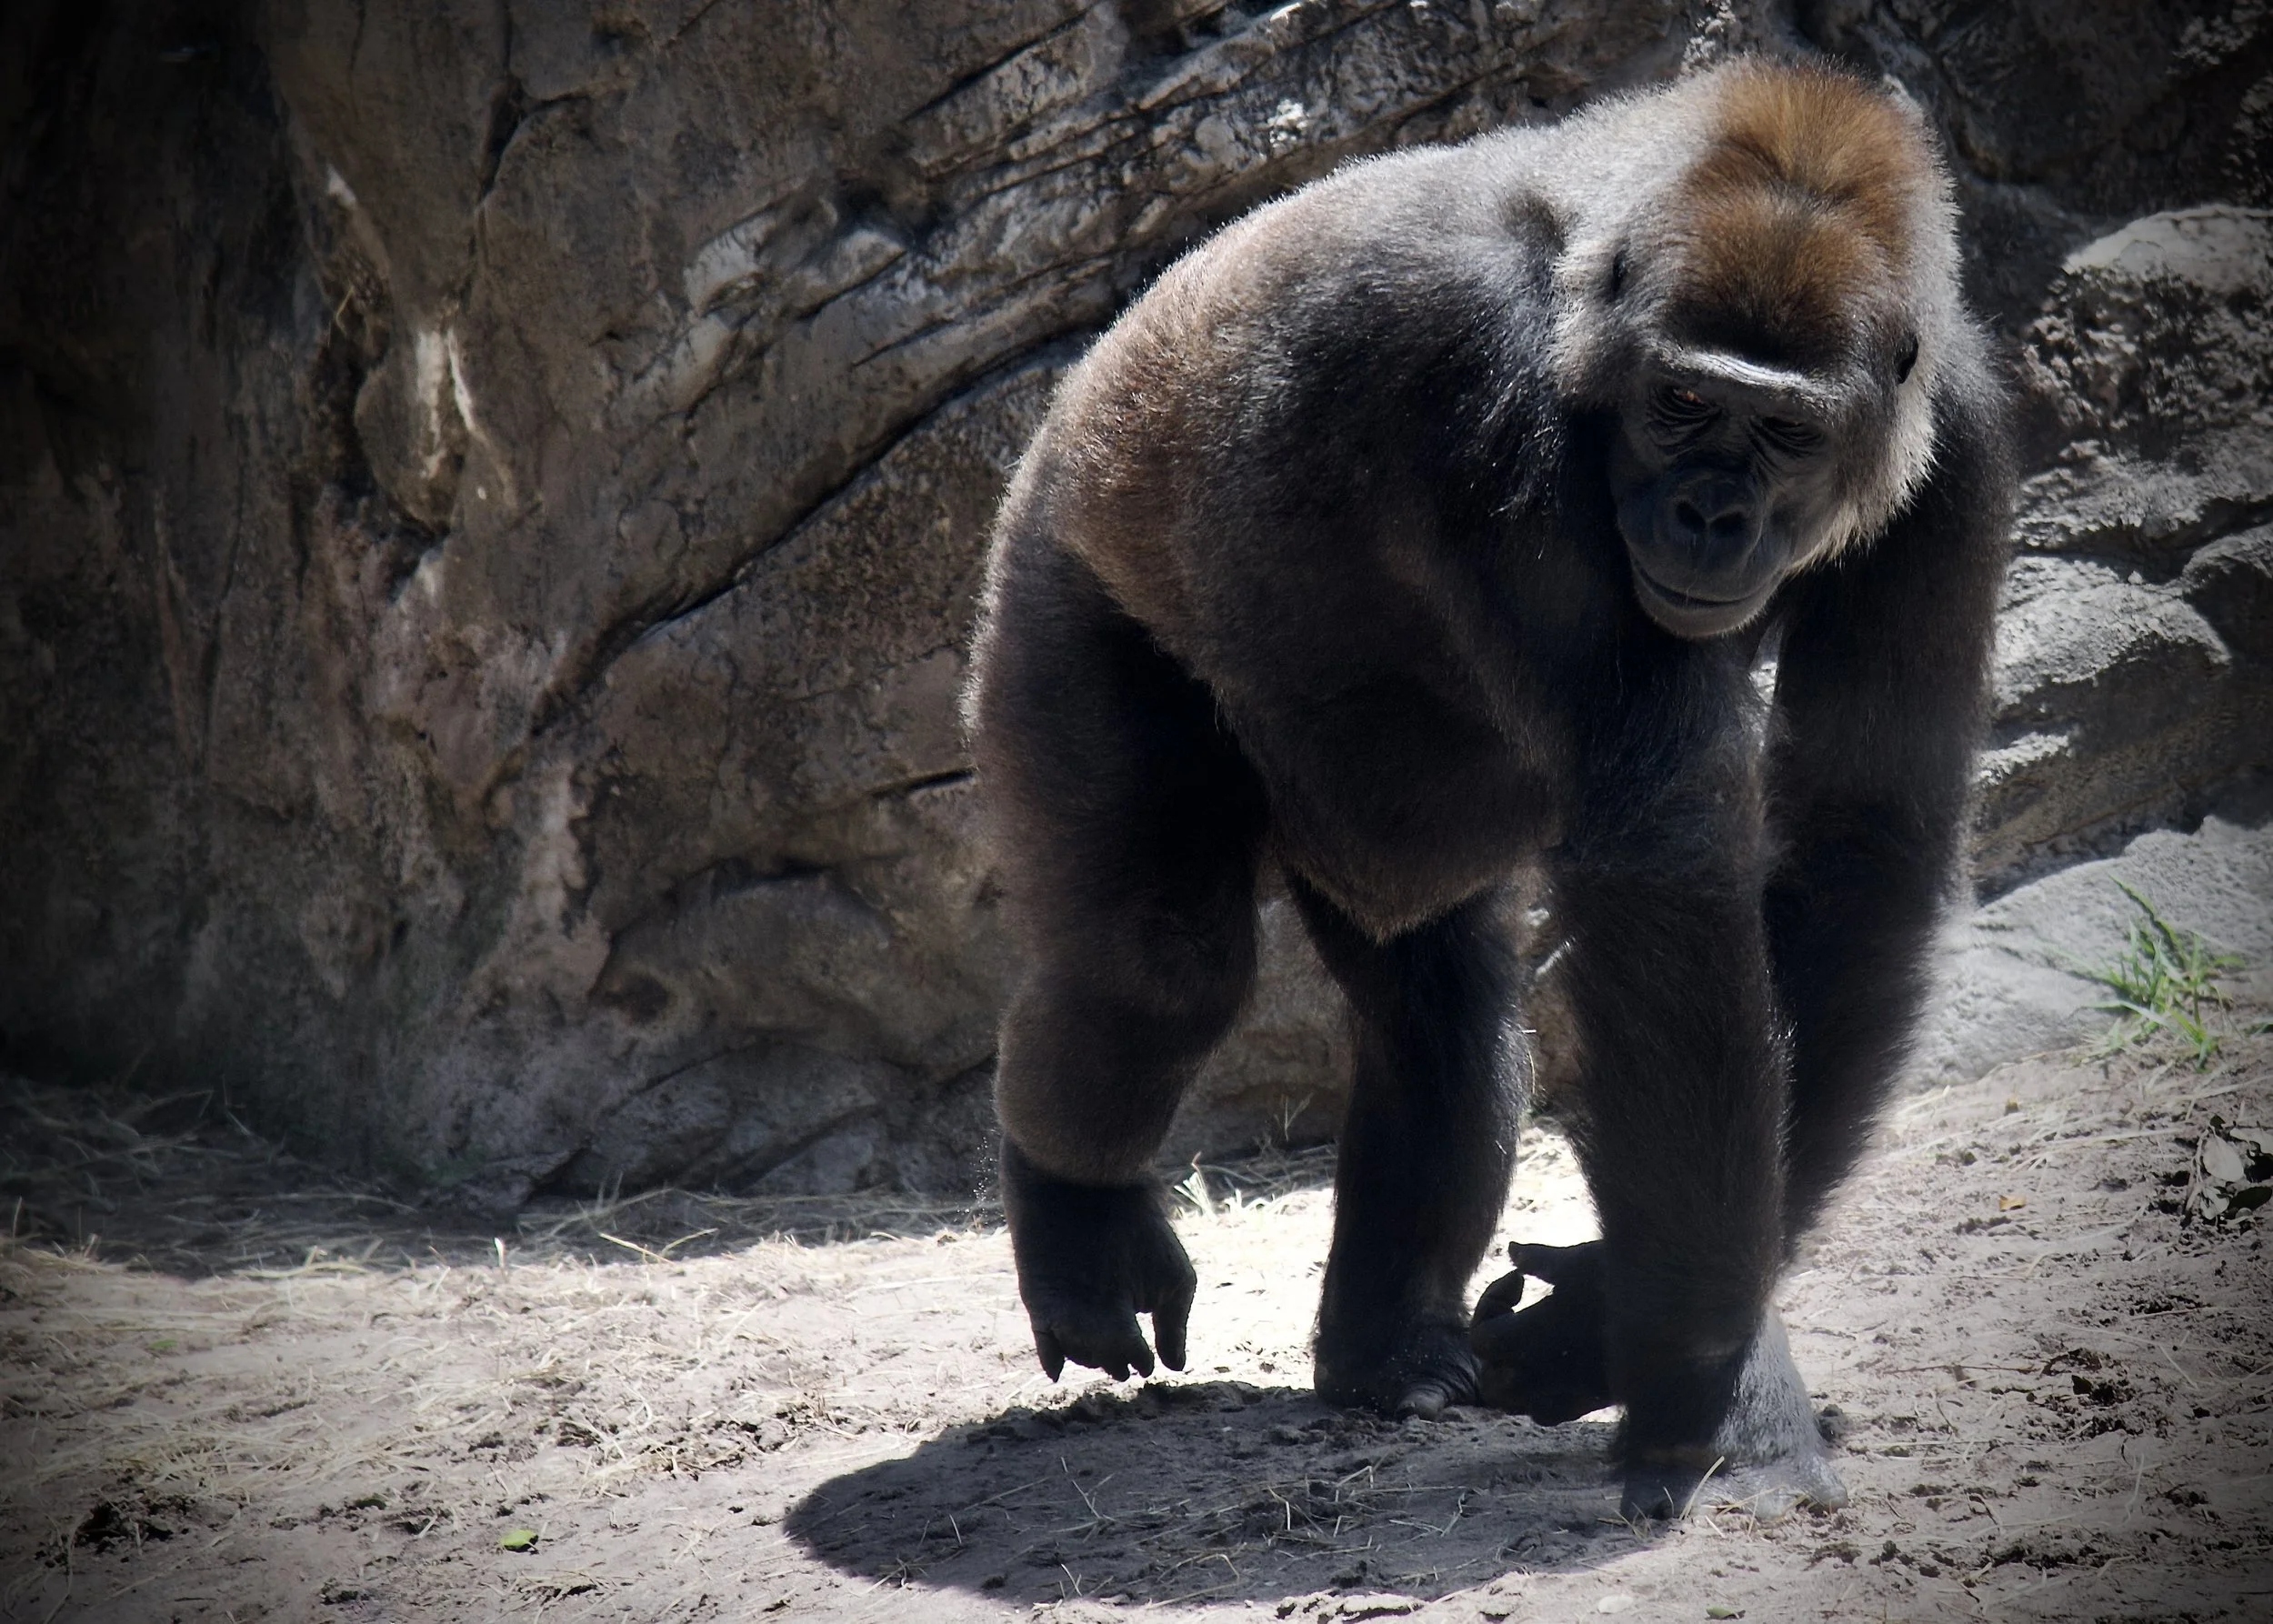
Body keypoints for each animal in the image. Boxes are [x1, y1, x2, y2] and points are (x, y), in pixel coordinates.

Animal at [962, 59, 2012, 1520]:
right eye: (1683, 408)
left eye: (1788, 432)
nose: (1709, 520)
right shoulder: (1493, 395)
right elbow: (1665, 866)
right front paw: (1701, 1373)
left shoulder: (1952, 435)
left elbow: (1860, 845)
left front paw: (1612, 1326)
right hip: (1060, 561)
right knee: (1149, 963)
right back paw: (1076, 1222)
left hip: (1371, 832)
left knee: (1442, 1012)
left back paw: (1383, 1351)